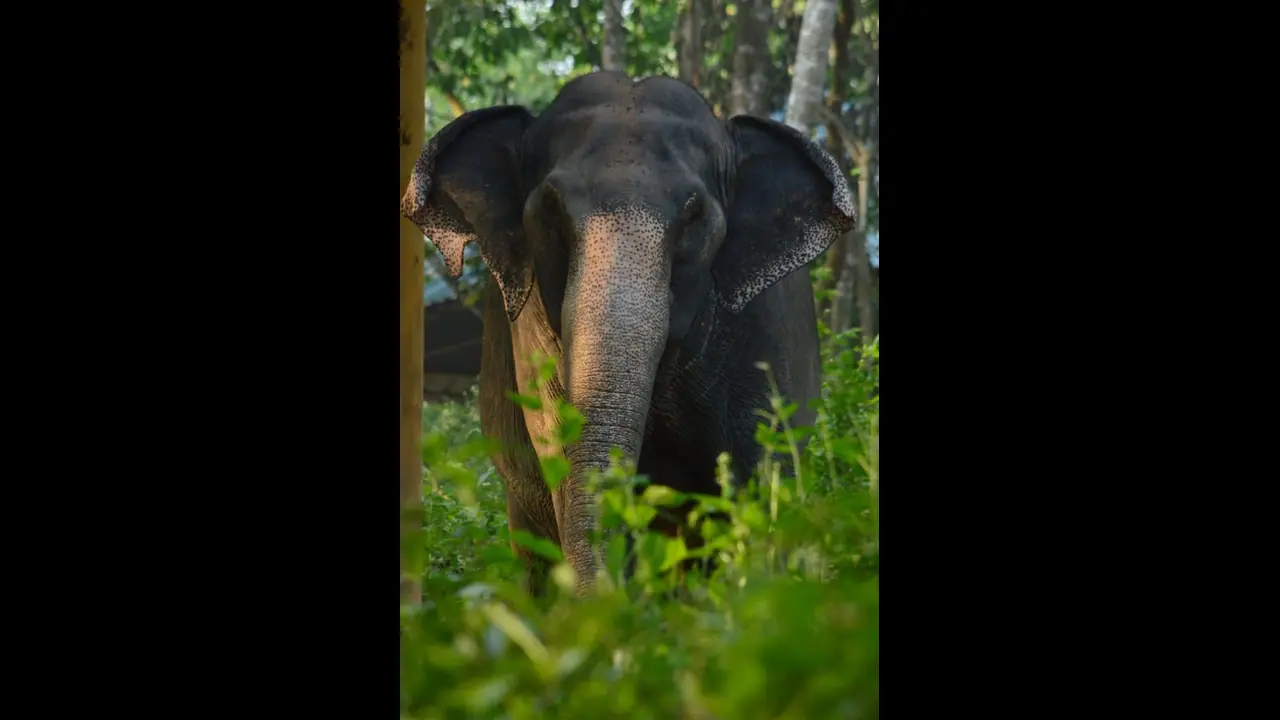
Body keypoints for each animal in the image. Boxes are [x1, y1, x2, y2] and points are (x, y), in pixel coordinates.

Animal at [401, 71, 854, 596]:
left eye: (695, 217)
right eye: (550, 210)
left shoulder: (760, 332)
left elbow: (754, 473)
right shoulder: (530, 330)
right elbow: (555, 446)